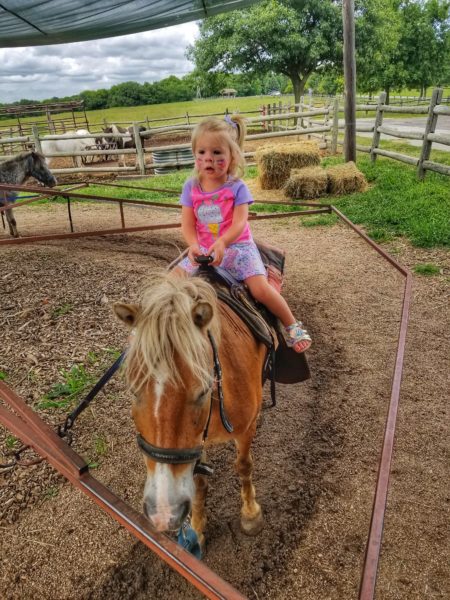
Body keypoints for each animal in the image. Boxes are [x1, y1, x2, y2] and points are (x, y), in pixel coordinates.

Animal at [113, 274, 268, 548]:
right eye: (133, 390)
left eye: (203, 390)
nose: (164, 512)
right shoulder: (195, 444)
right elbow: (198, 483)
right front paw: (196, 529)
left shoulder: (246, 428)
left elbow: (243, 466)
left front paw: (251, 514)